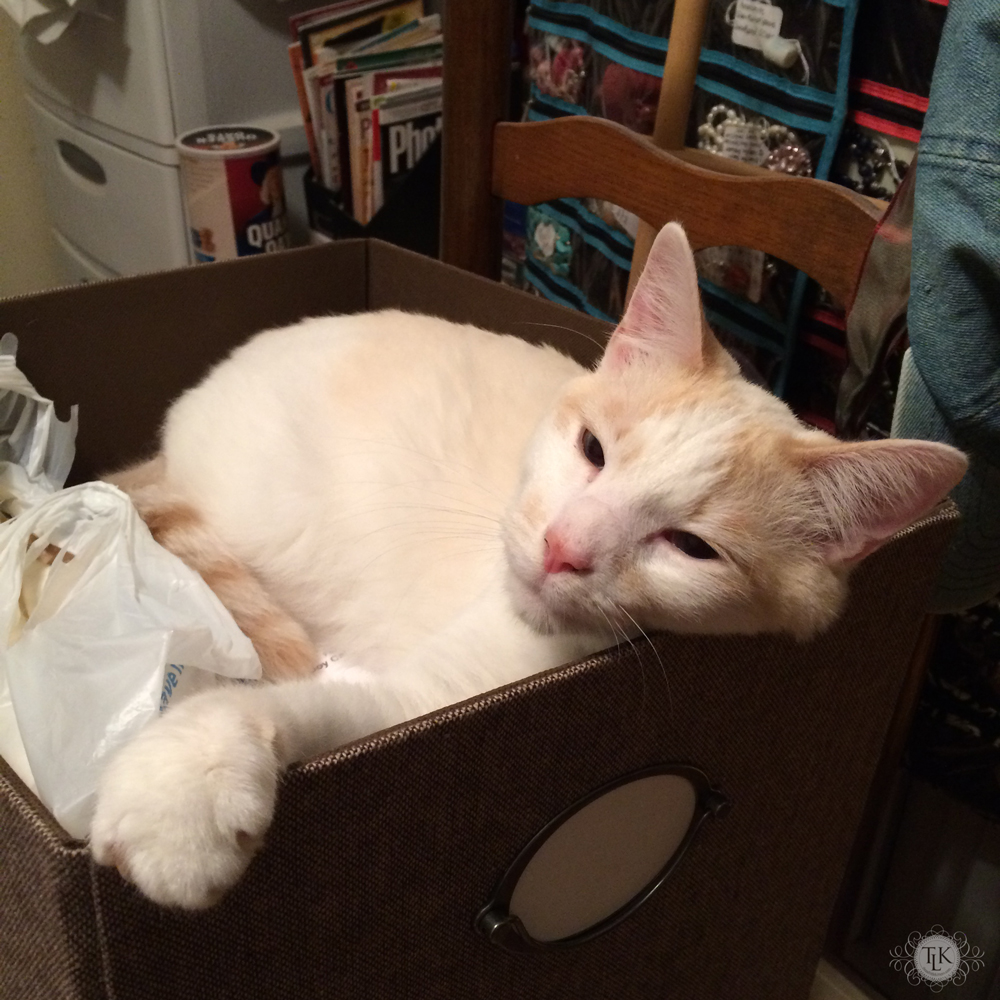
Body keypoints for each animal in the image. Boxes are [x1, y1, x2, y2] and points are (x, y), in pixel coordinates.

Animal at [90, 225, 964, 908]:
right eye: (593, 450)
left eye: (693, 548)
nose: (562, 548)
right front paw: (188, 786)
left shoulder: (422, 704)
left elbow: (312, 706)